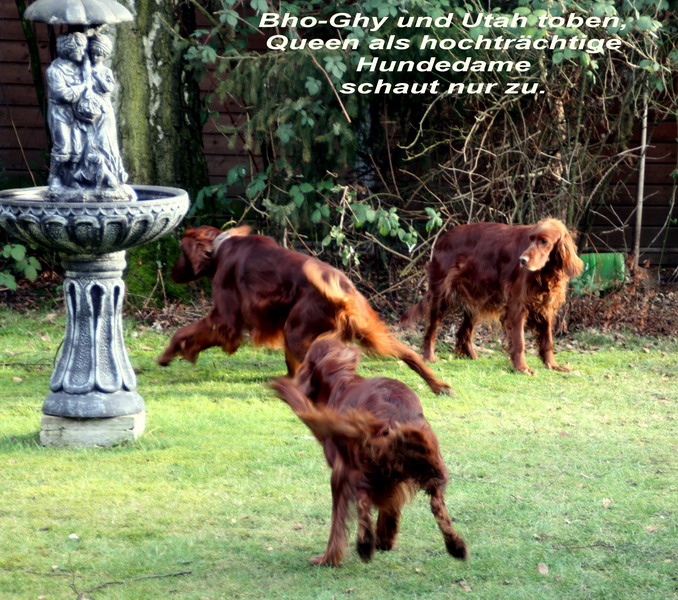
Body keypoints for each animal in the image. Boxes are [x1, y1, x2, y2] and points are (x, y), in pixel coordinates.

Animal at [158, 225, 451, 394]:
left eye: (181, 252)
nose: (171, 273)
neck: (221, 247)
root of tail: (342, 291)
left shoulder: (225, 319)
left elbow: (185, 332)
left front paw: (167, 356)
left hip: (298, 331)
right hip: (364, 332)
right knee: (408, 353)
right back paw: (440, 385)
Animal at [270, 338, 468, 566]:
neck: (342, 380)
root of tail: (388, 419)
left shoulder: (338, 471)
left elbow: (339, 520)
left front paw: (331, 557)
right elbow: (391, 505)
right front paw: (385, 538)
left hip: (356, 467)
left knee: (362, 500)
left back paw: (362, 545)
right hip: (431, 463)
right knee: (436, 503)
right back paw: (455, 545)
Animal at [403, 218, 584, 374]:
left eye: (544, 241)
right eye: (531, 239)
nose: (522, 260)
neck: (546, 272)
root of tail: (443, 237)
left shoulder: (546, 306)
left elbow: (547, 341)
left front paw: (552, 365)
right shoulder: (517, 306)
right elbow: (519, 342)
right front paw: (522, 368)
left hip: (477, 298)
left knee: (463, 332)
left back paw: (472, 356)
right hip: (442, 295)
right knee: (431, 329)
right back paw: (429, 357)